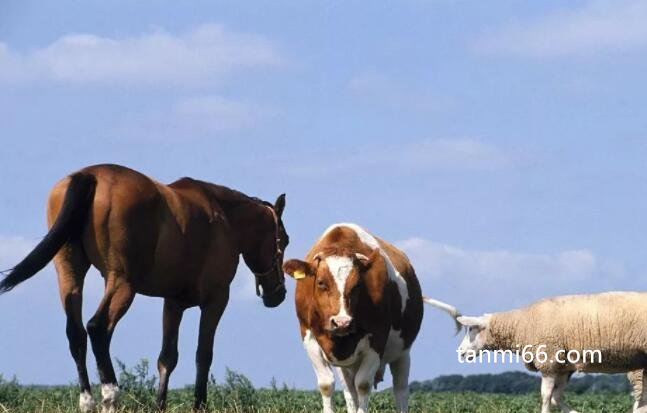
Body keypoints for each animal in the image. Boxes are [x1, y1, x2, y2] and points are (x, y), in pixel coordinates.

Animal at [0, 163, 288, 408]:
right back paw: (110, 395)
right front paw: (199, 405)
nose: (279, 293)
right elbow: (203, 355)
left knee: (76, 333)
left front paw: (160, 405)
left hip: (70, 275)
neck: (223, 218)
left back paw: (88, 401)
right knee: (97, 328)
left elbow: (167, 358)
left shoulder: (173, 304)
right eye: (283, 240)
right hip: (123, 283)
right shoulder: (216, 301)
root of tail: (90, 175)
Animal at [284, 222, 460, 412]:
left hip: (403, 353)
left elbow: (363, 384)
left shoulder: (377, 339)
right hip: (347, 366)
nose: (342, 322)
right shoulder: (308, 336)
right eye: (321, 283)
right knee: (349, 391)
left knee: (400, 390)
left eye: (357, 285)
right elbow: (326, 384)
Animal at [458, 292, 647, 410]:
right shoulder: (562, 368)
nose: (460, 352)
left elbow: (546, 396)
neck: (522, 324)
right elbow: (556, 398)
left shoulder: (548, 362)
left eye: (472, 329)